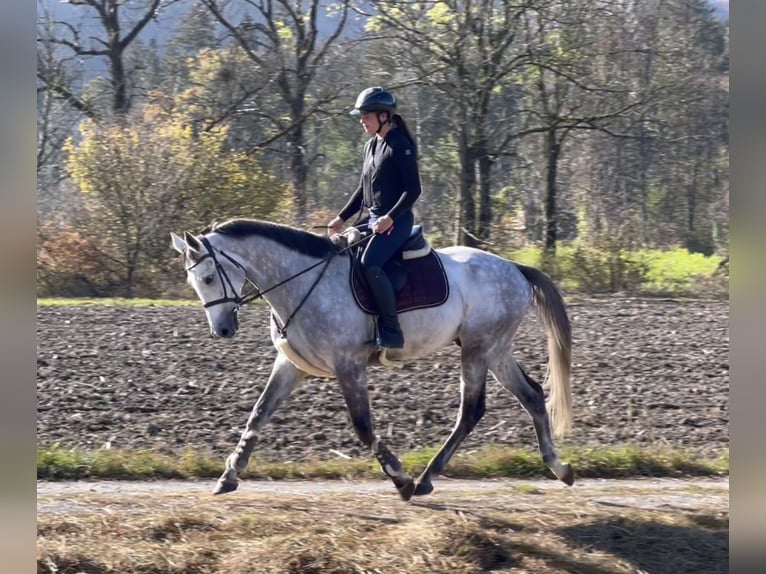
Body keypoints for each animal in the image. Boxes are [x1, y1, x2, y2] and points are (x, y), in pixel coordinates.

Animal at [171, 218, 572, 502]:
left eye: (209, 277)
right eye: (193, 282)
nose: (222, 330)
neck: (298, 282)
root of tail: (514, 268)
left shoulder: (349, 365)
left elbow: (363, 426)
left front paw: (400, 479)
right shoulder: (291, 366)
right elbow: (258, 413)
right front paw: (229, 475)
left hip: (477, 349)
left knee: (471, 410)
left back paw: (424, 479)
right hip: (495, 350)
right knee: (532, 395)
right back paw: (559, 467)